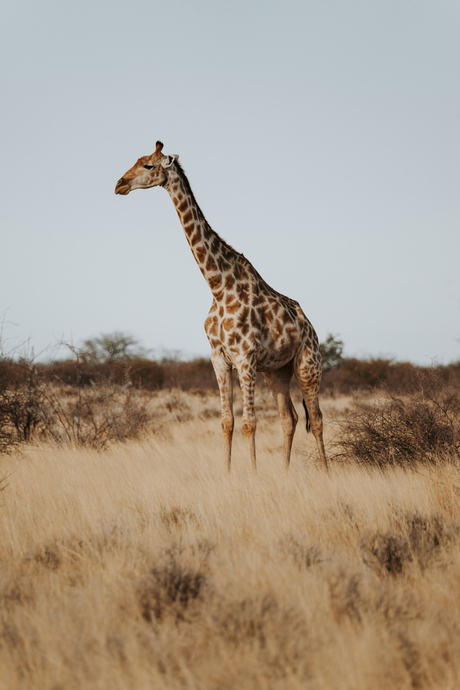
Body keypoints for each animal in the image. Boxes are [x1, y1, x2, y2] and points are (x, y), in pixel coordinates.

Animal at [114, 142, 328, 470]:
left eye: (149, 165)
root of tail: (312, 329)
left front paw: (252, 474)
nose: (119, 184)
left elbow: (249, 423)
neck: (217, 285)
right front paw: (226, 474)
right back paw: (284, 472)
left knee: (315, 419)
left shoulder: (245, 357)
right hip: (277, 371)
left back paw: (326, 473)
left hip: (308, 365)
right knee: (289, 418)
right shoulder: (218, 357)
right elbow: (227, 422)